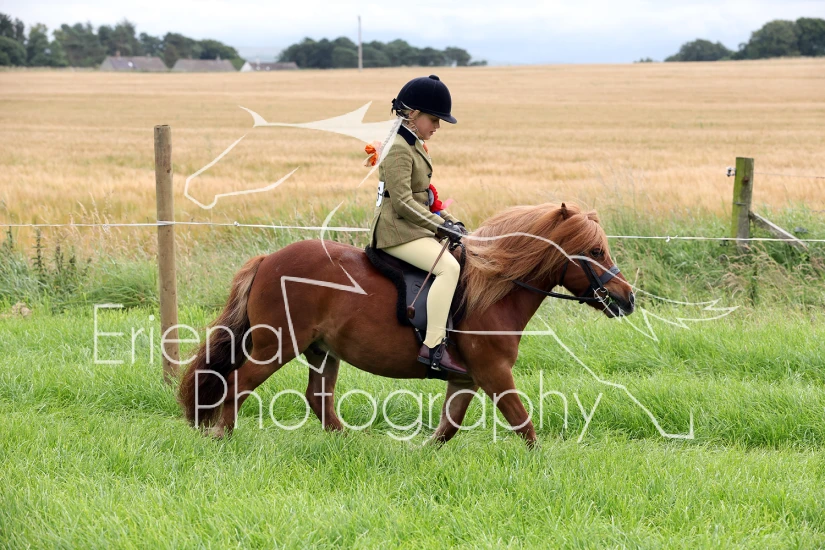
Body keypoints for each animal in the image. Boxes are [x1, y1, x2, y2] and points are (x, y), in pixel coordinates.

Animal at [178, 202, 635, 446]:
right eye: (595, 251)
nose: (627, 298)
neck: (495, 288)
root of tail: (268, 260)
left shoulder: (466, 379)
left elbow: (448, 429)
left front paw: (421, 455)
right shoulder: (494, 373)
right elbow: (523, 424)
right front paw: (542, 467)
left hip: (322, 351)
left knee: (318, 397)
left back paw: (350, 445)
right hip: (277, 345)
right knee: (239, 384)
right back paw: (222, 439)